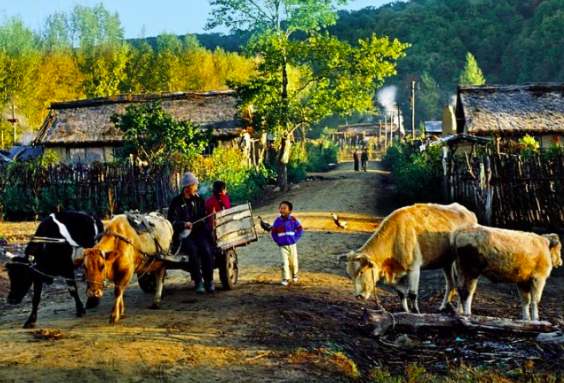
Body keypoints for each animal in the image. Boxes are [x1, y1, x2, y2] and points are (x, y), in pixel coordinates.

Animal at [344, 202, 476, 314]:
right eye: (350, 274)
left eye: (361, 271)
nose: (358, 296)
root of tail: (469, 213)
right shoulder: (397, 273)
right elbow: (402, 293)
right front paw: (406, 312)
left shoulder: (414, 269)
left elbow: (413, 294)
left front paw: (416, 312)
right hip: (446, 262)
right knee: (450, 284)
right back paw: (443, 307)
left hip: (460, 263)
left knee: (461, 286)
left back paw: (460, 311)